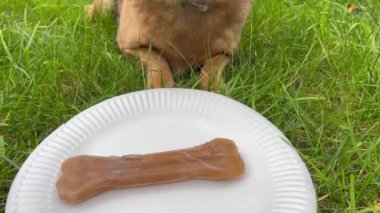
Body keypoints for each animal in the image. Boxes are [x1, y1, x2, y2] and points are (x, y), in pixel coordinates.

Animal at [87, 0, 251, 90]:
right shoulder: (128, 46)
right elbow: (157, 57)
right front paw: (161, 83)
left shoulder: (227, 53)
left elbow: (211, 67)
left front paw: (215, 87)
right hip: (104, 7)